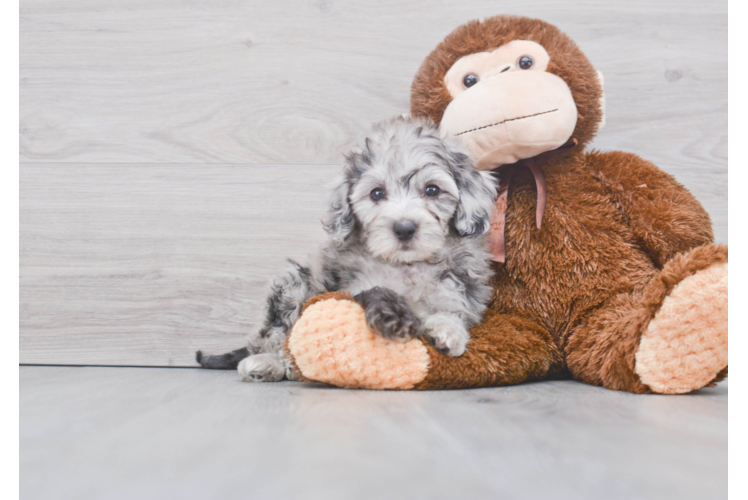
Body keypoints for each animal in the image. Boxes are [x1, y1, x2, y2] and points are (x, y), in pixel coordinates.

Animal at [196, 118, 496, 382]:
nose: (404, 228)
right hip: (294, 287)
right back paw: (268, 364)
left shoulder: (456, 294)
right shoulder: (351, 288)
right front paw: (393, 316)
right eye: (376, 193)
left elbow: (452, 314)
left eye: (432, 190)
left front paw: (446, 333)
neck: (406, 265)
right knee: (274, 336)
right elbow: (377, 293)